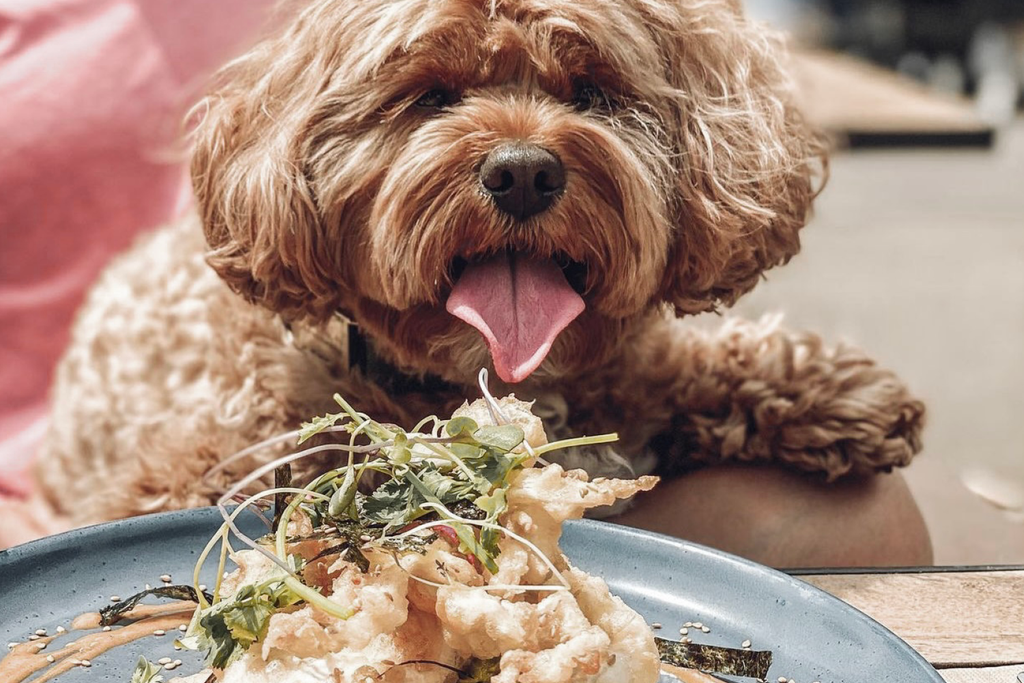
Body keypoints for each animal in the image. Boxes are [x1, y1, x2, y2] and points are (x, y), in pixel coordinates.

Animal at [32, 0, 929, 565]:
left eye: (592, 91)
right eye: (431, 95)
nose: (524, 172)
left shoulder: (626, 377)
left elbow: (680, 370)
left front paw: (834, 388)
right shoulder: (197, 471)